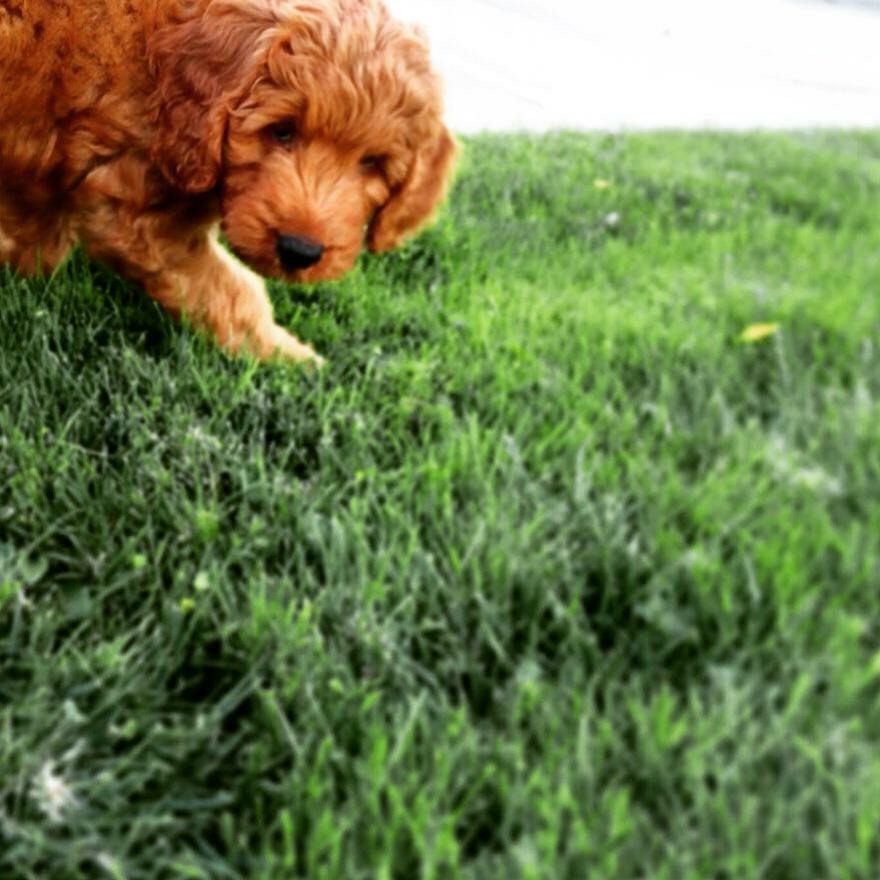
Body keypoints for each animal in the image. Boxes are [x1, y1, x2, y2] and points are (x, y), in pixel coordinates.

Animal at [0, 0, 457, 363]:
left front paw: (24, 270)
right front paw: (294, 361)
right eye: (283, 130)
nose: (300, 252)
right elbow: (233, 294)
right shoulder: (137, 218)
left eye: (372, 163)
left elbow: (37, 228)